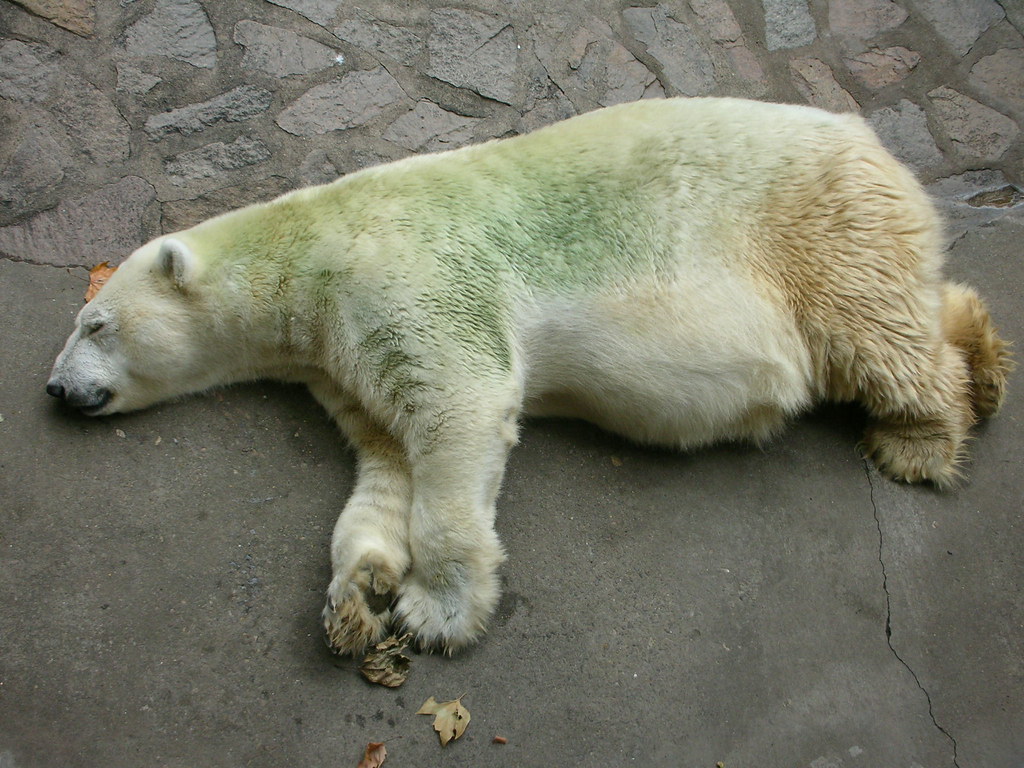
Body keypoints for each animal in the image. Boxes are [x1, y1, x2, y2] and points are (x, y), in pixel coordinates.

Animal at [46, 97, 1010, 656]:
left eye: (95, 323)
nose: (55, 389)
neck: (310, 253)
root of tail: (875, 143)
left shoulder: (406, 276)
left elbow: (458, 409)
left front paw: (435, 614)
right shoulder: (340, 358)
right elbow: (384, 462)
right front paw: (358, 596)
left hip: (814, 222)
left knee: (869, 327)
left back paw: (922, 438)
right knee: (913, 300)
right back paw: (987, 357)